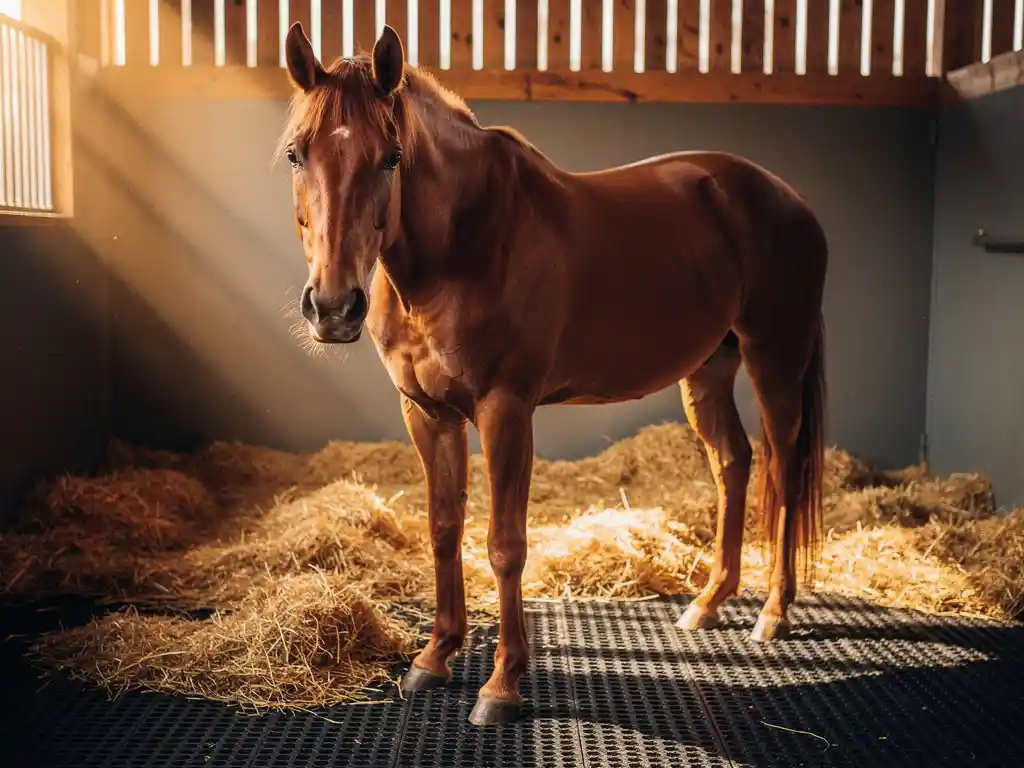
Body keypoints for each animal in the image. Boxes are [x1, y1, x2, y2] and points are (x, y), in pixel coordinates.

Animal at [276, 22, 828, 727]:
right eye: (297, 155)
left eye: (391, 158)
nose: (333, 307)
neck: (467, 243)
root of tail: (789, 199)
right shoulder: (427, 413)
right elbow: (443, 529)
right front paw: (435, 656)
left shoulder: (505, 409)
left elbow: (505, 544)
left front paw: (502, 685)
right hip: (708, 369)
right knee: (733, 462)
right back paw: (708, 603)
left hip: (774, 359)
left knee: (783, 468)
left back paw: (774, 613)